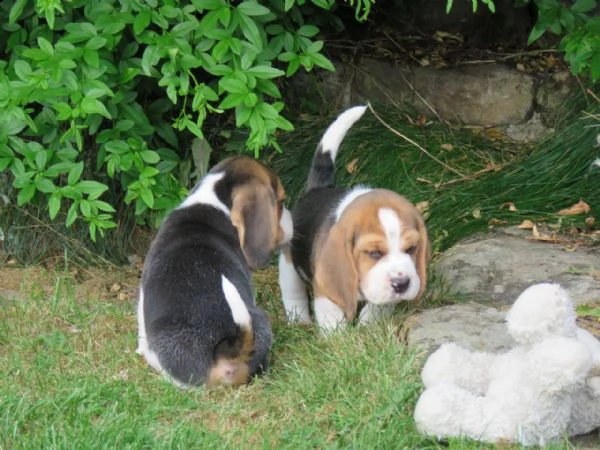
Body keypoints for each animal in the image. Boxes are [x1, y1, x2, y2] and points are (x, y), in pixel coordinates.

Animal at [278, 104, 428, 330]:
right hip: (288, 263)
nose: (401, 284)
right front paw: (338, 336)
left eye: (411, 249)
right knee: (293, 293)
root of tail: (318, 189)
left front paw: (367, 327)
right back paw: (299, 321)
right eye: (374, 253)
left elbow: (375, 308)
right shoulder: (325, 291)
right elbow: (332, 319)